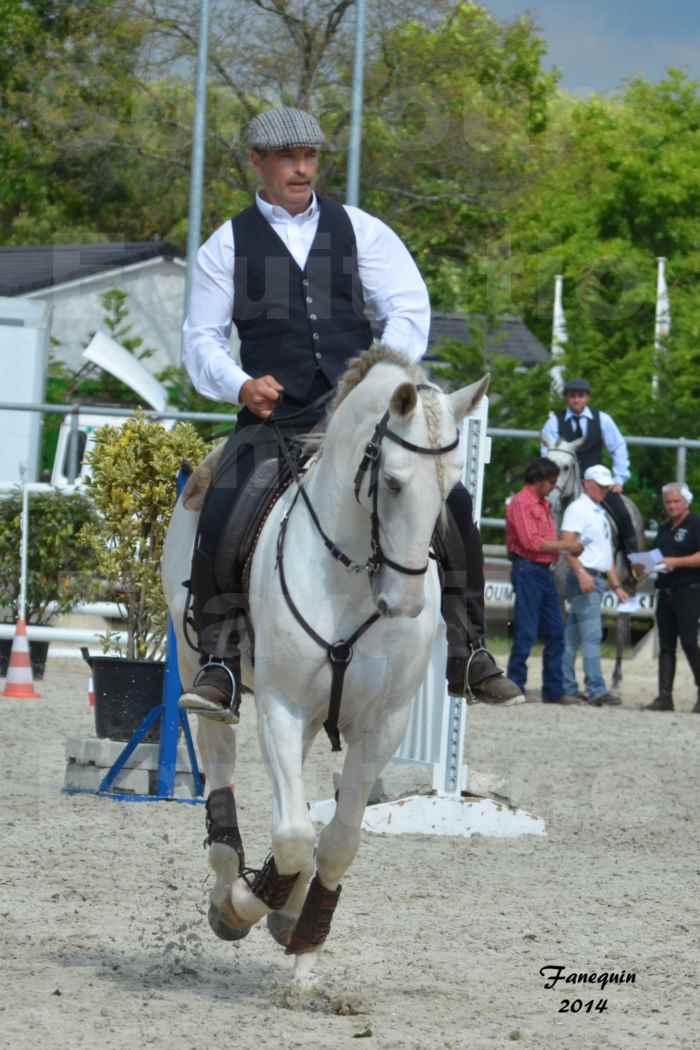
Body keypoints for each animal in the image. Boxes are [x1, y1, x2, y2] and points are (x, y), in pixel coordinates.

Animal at [162, 348, 491, 978]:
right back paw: (229, 887)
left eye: (451, 489)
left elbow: (337, 840)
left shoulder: (381, 725)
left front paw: (303, 931)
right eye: (393, 482)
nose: (403, 604)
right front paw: (248, 903)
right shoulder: (282, 706)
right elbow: (294, 835)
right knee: (220, 763)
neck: (351, 580)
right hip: (198, 671)